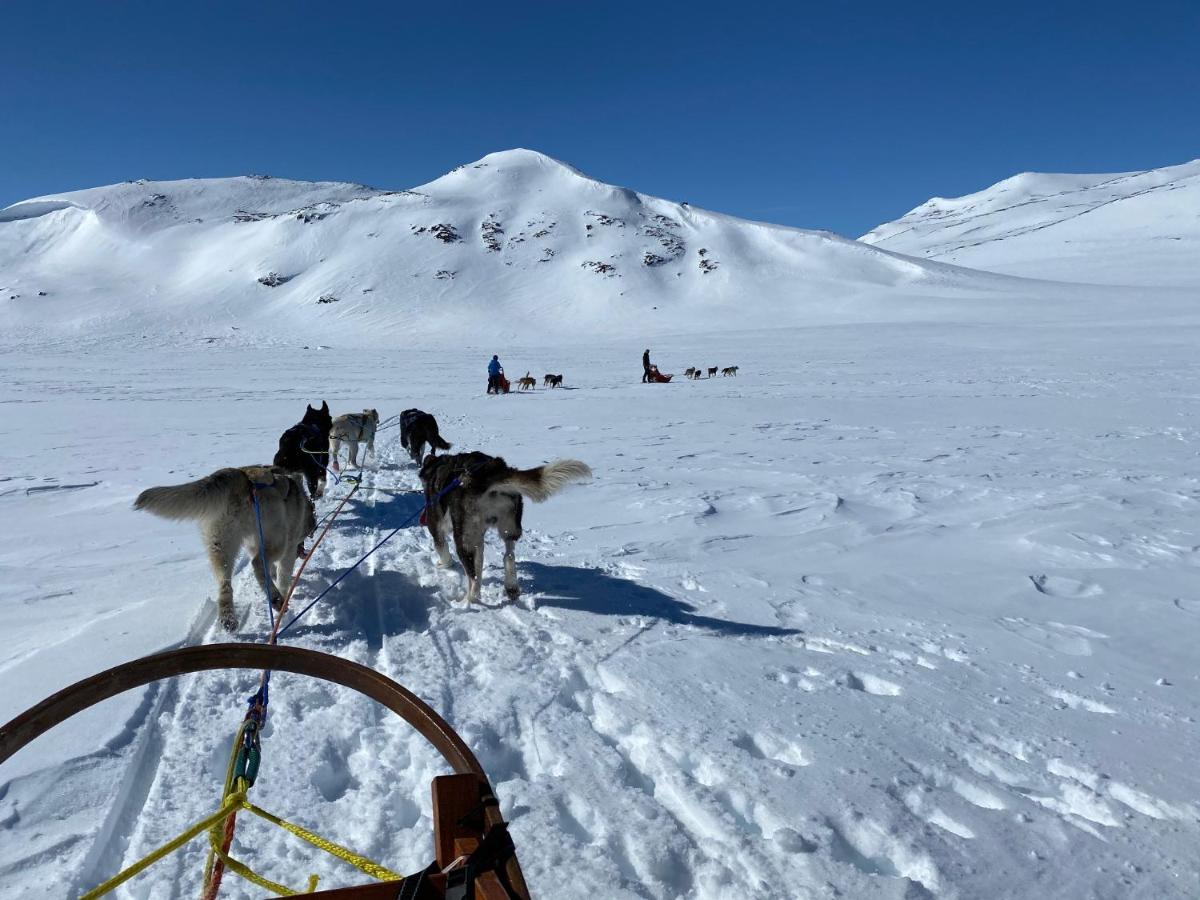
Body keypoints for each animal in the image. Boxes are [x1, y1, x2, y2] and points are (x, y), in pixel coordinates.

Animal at [135, 468, 314, 628]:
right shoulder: (288, 550)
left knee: (225, 582)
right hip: (277, 540)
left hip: (221, 545)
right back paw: (276, 599)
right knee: (257, 564)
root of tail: (243, 476)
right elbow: (283, 577)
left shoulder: (253, 546)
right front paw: (284, 592)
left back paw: (228, 617)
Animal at [420, 451, 592, 607]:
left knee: (473, 579)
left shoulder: (435, 526)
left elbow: (444, 551)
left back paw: (467, 602)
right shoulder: (478, 539)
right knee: (508, 555)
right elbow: (479, 562)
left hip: (463, 539)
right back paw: (511, 587)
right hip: (509, 527)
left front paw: (444, 564)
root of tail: (490, 471)